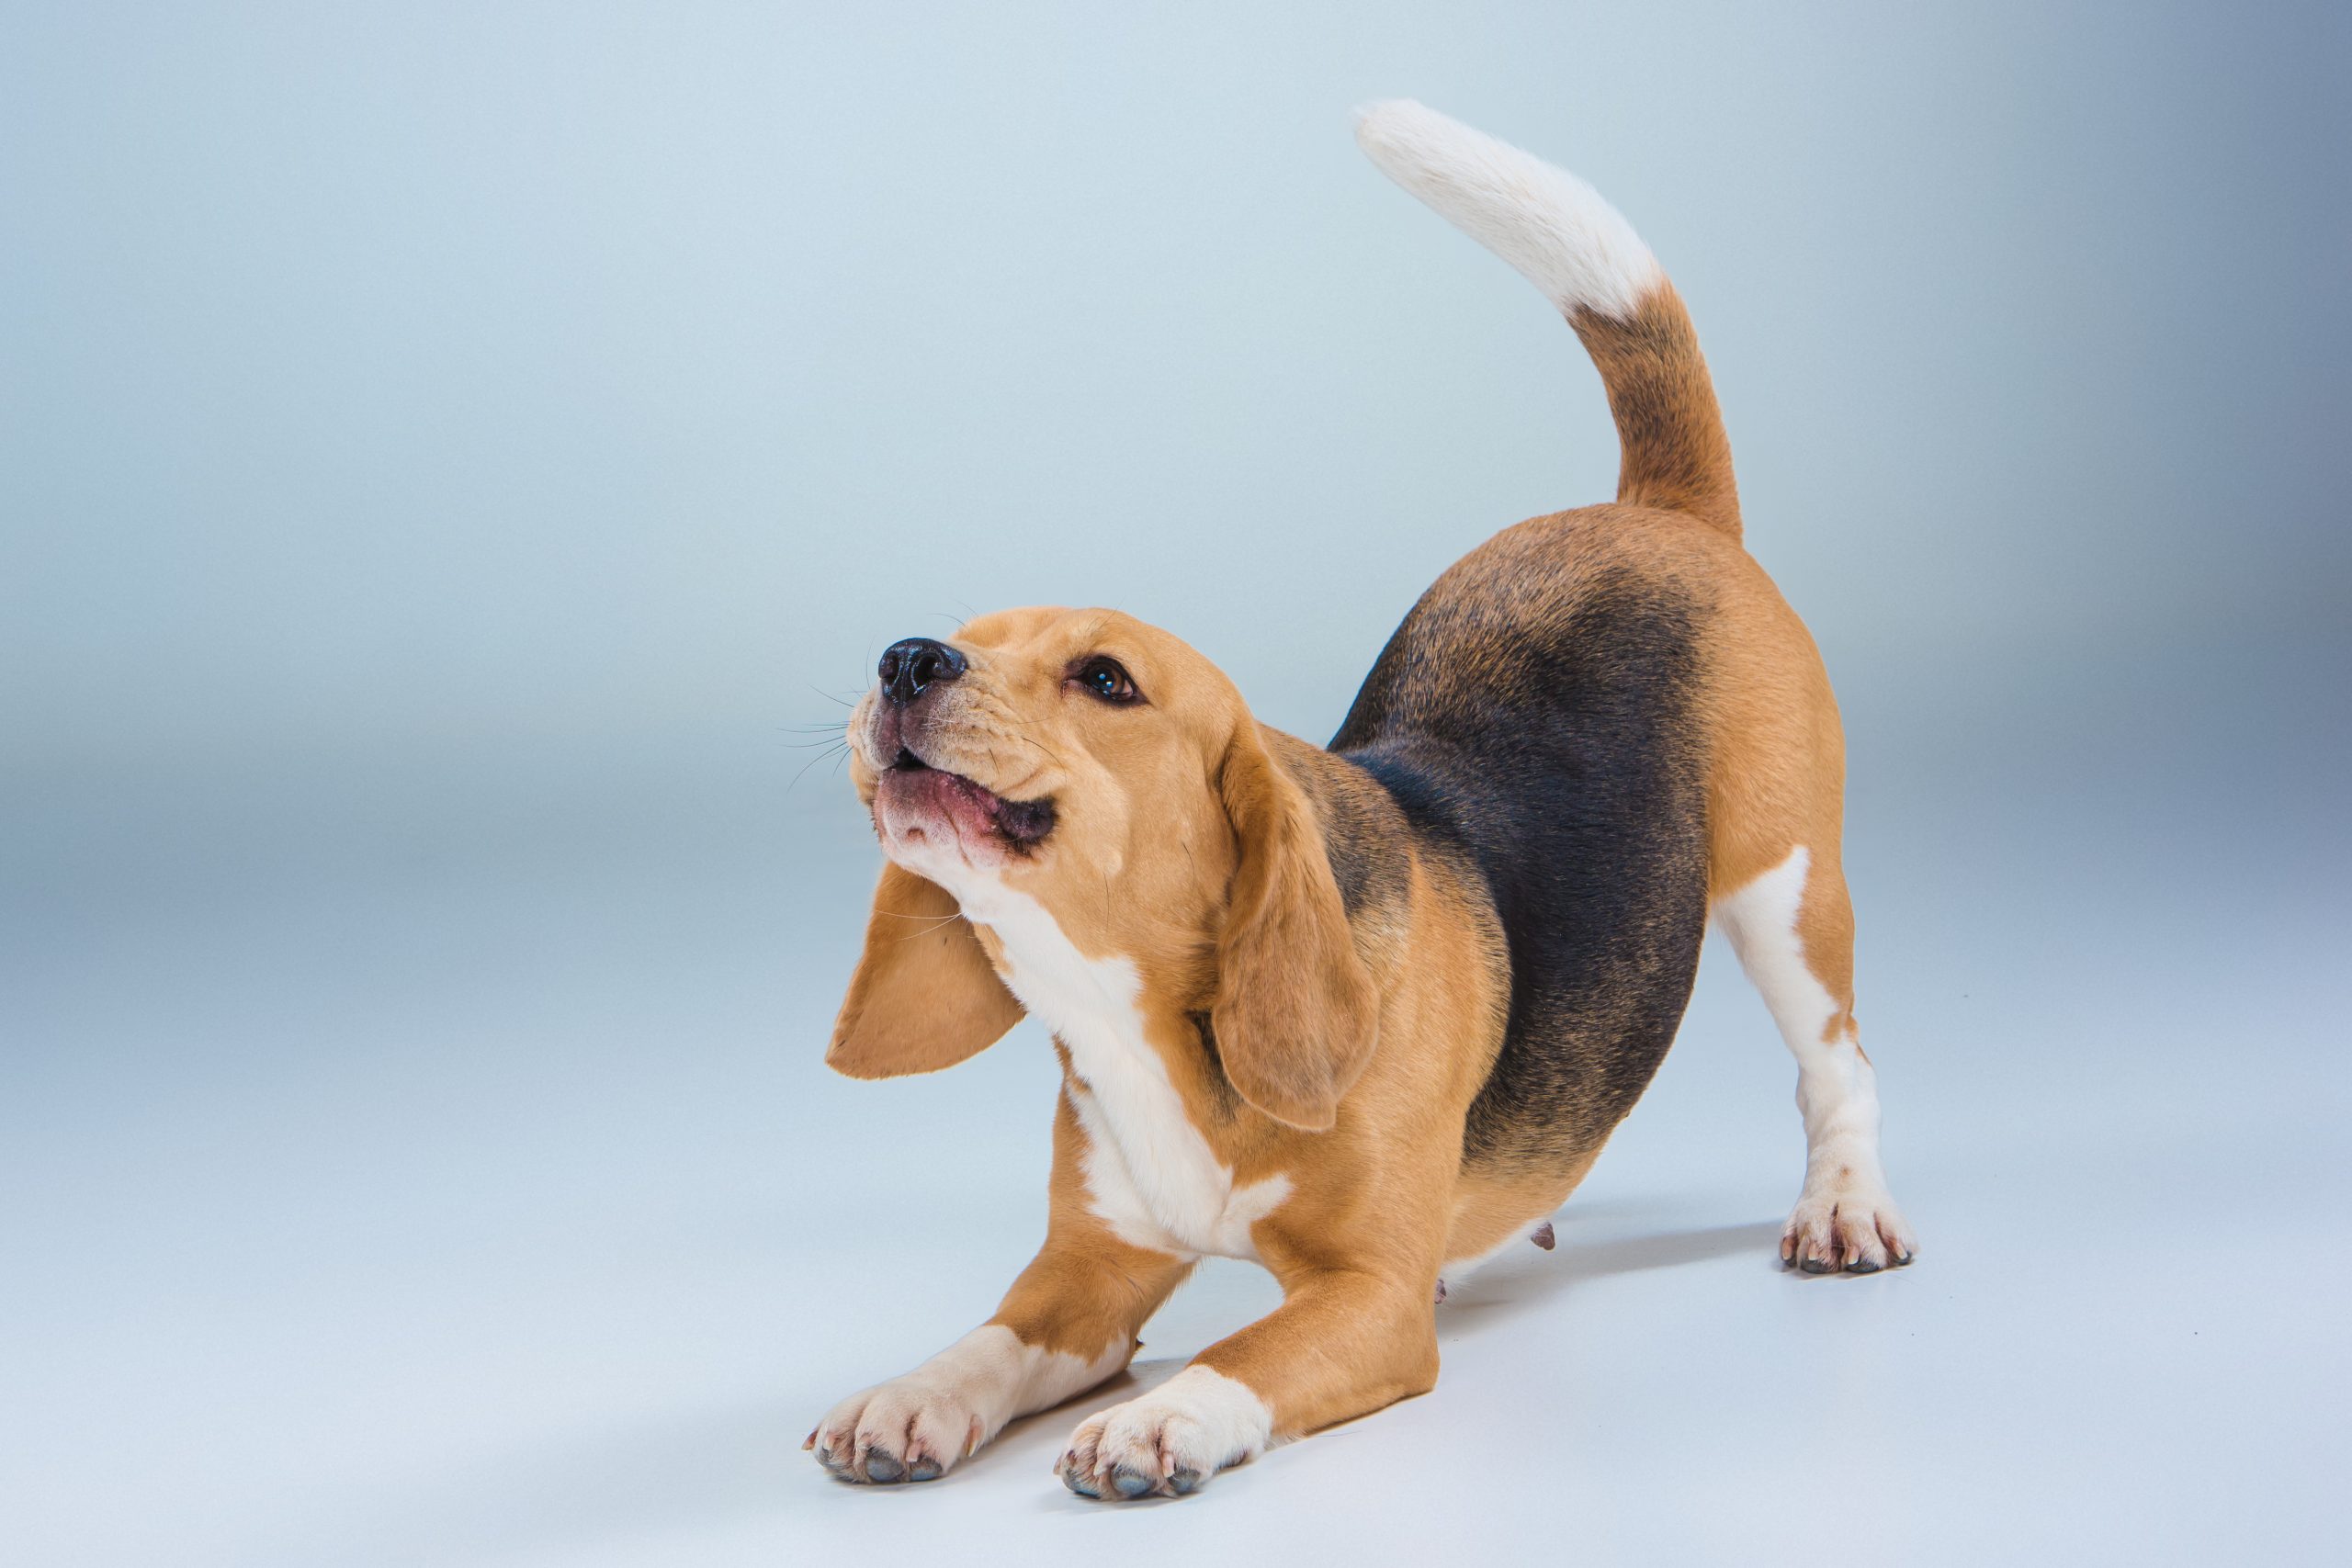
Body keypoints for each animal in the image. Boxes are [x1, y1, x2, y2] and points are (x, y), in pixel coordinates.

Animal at [804, 104, 1909, 1504]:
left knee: (1838, 1059)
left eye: (1106, 678)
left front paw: (1161, 1420)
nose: (905, 659)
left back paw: (1844, 1204)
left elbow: (1247, 1350)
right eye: (959, 637)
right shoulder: (1086, 1272)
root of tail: (1655, 514)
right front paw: (913, 1392)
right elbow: (989, 1339)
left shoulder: (1370, 1296)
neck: (1132, 1016)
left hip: (1785, 888)